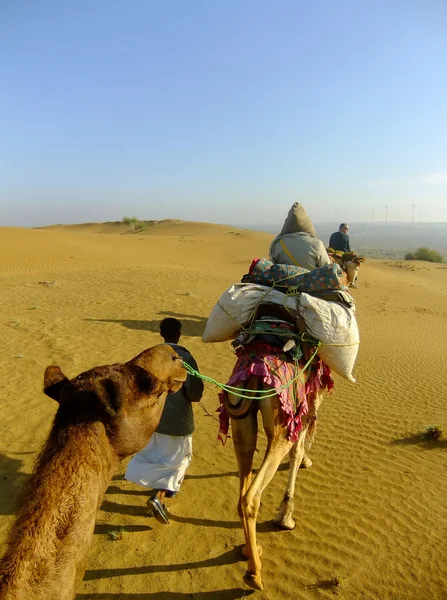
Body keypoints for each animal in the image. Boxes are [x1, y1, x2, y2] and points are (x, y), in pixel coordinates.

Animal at [226, 370, 324, 592]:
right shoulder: (309, 400)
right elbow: (297, 449)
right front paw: (285, 516)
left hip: (241, 421)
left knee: (241, 490)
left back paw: (250, 551)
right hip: (281, 425)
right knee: (250, 498)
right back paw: (254, 574)